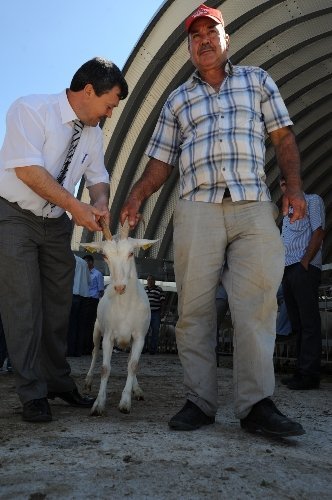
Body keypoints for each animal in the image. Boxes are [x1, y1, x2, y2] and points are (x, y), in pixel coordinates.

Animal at [81, 221, 158, 416]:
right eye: (105, 256)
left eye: (131, 253)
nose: (120, 287)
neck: (125, 307)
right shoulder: (108, 336)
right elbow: (105, 368)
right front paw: (98, 404)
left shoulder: (139, 337)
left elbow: (133, 365)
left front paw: (125, 401)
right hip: (96, 329)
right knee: (94, 352)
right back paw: (88, 382)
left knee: (130, 359)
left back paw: (136, 390)